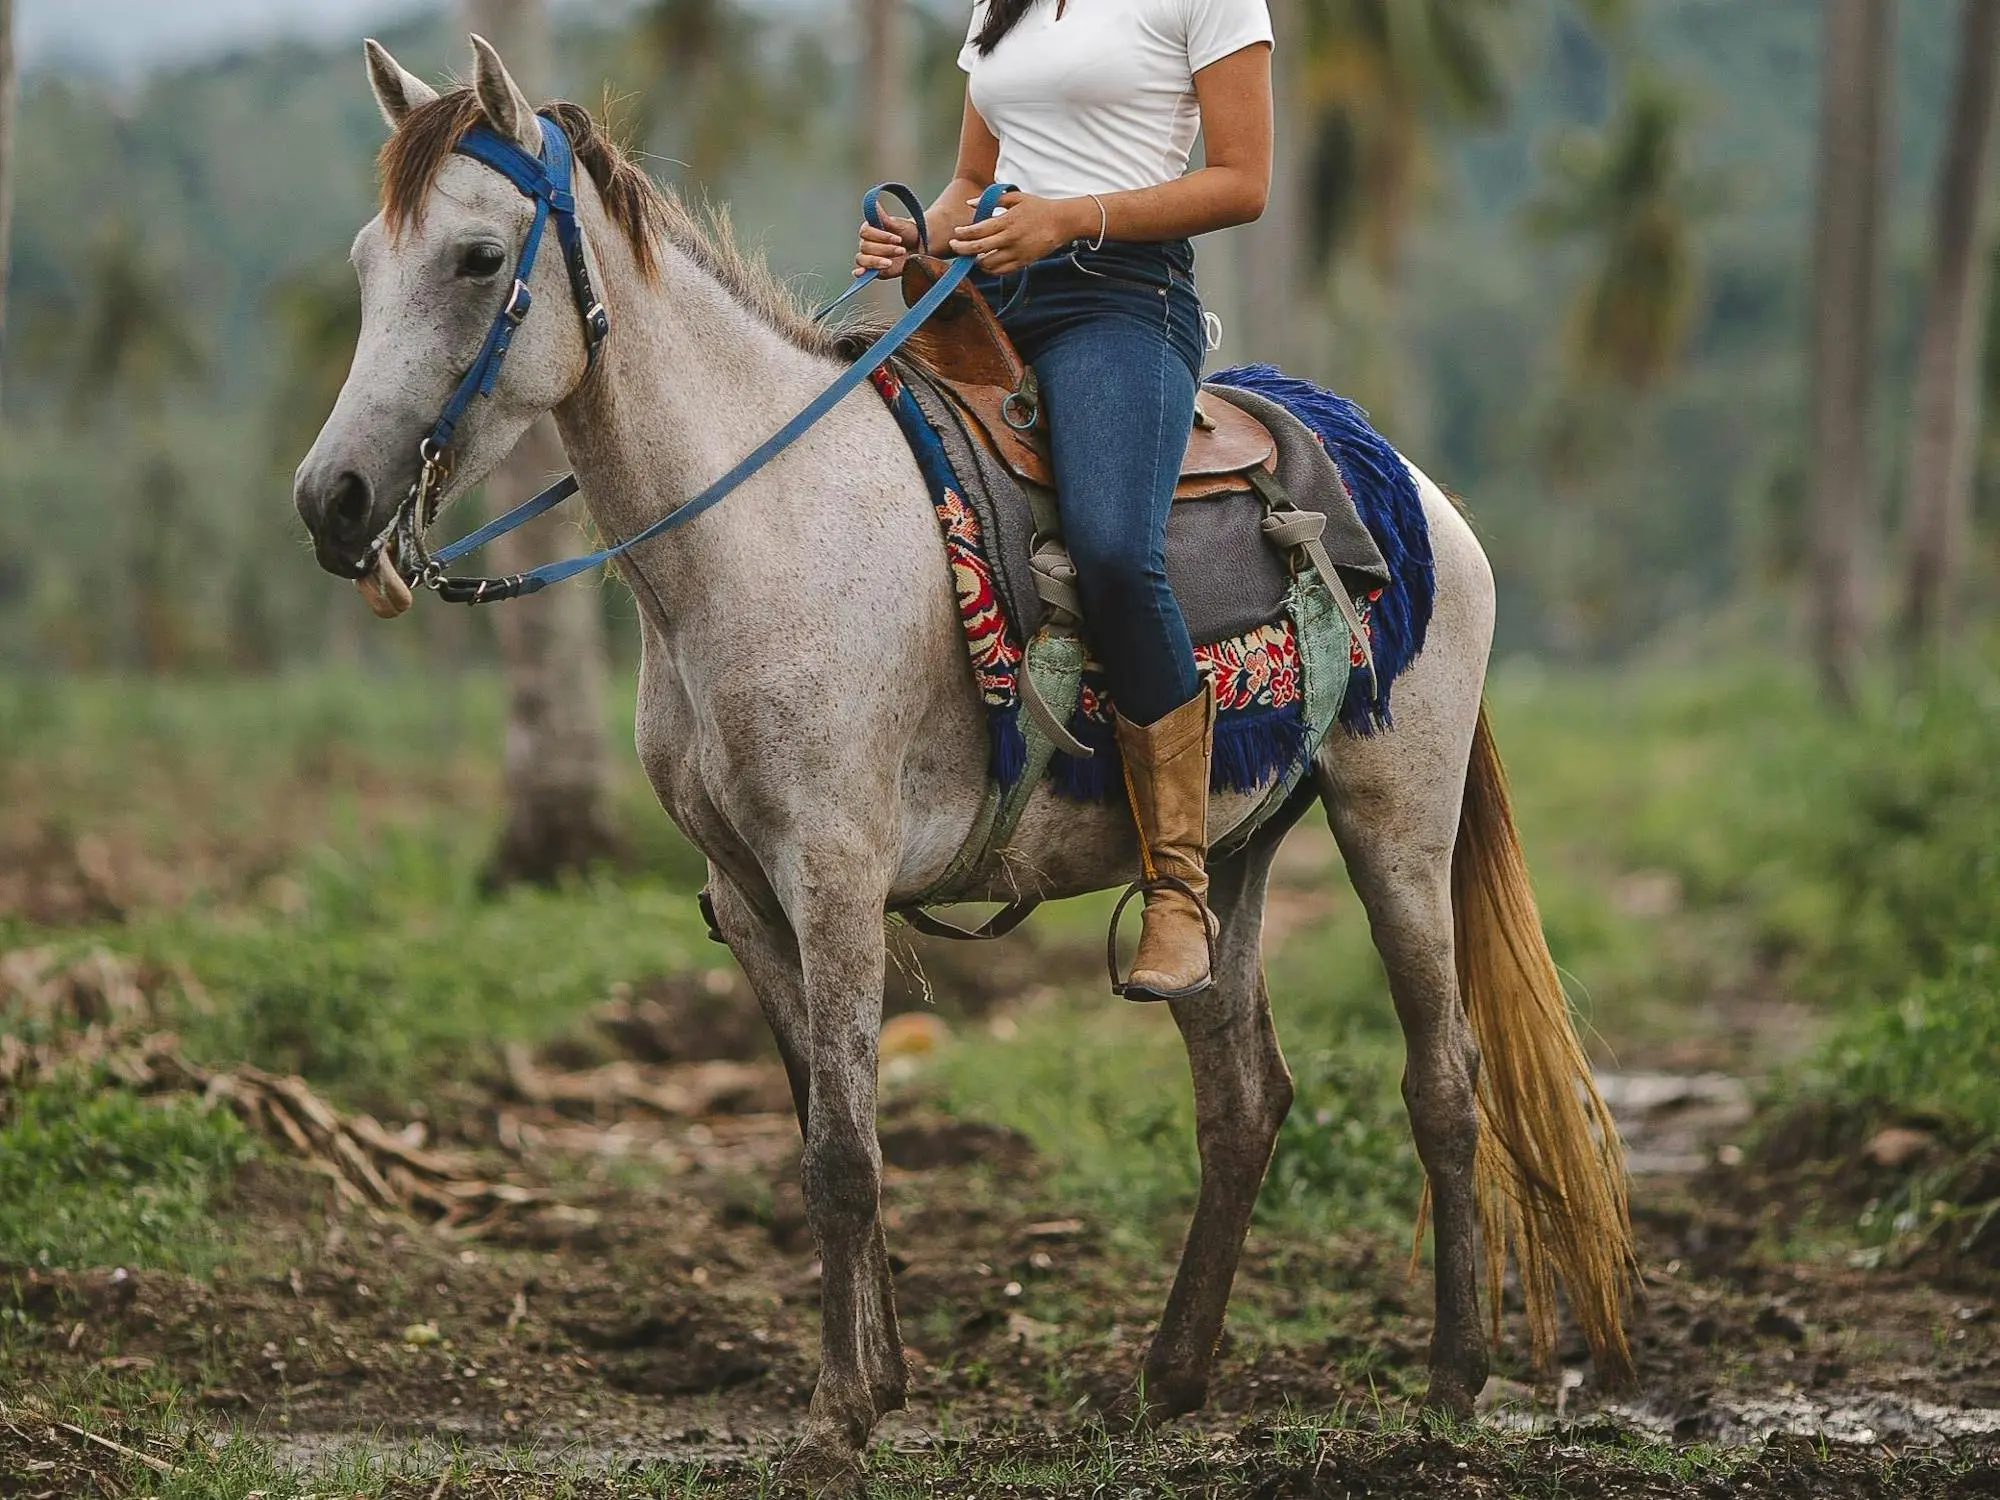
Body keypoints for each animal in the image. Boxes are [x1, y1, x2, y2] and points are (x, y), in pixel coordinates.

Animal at [300, 41, 1640, 1496]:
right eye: (366, 258)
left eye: (480, 258)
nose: (333, 501)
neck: (757, 536)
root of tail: (1407, 489)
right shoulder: (745, 896)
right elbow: (821, 1125)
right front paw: (878, 1378)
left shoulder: (834, 877)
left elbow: (842, 1150)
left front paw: (839, 1416)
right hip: (1227, 853)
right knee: (1241, 1095)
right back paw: (1166, 1381)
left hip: (1395, 815)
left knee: (1442, 1078)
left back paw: (1450, 1381)